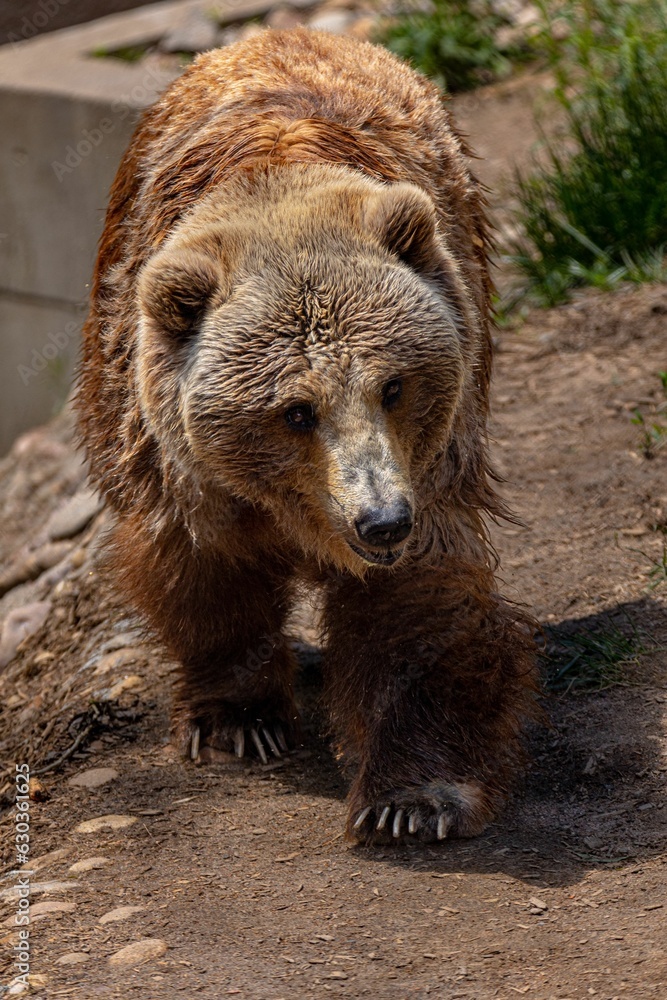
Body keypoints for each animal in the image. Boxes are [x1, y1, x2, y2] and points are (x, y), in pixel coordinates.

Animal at [77, 27, 537, 845]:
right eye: (296, 410)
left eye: (393, 385)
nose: (381, 519)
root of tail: (284, 30)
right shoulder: (171, 456)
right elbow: (200, 568)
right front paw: (237, 719)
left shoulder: (432, 458)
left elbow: (418, 604)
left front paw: (411, 796)